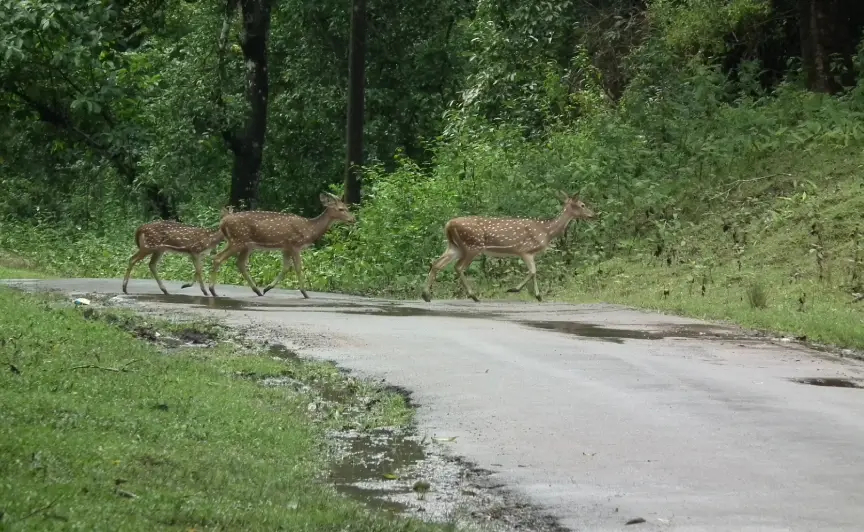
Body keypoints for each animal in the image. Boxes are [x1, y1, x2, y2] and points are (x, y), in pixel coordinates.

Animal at [208, 192, 356, 300]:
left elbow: (286, 267)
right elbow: (298, 268)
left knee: (239, 263)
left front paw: (267, 288)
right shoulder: (295, 244)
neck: (309, 229)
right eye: (341, 209)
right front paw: (305, 293)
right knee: (218, 258)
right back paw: (212, 290)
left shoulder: (285, 247)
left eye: (347, 207)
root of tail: (223, 222)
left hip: (245, 245)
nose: (353, 219)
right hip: (238, 240)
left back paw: (257, 290)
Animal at [422, 190, 596, 304]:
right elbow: (533, 271)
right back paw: (474, 296)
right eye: (583, 204)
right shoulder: (524, 250)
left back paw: (426, 295)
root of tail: (448, 225)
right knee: (458, 267)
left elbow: (534, 272)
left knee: (437, 264)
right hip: (472, 246)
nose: (594, 214)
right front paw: (516, 290)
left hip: (455, 247)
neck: (546, 231)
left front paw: (538, 296)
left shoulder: (529, 253)